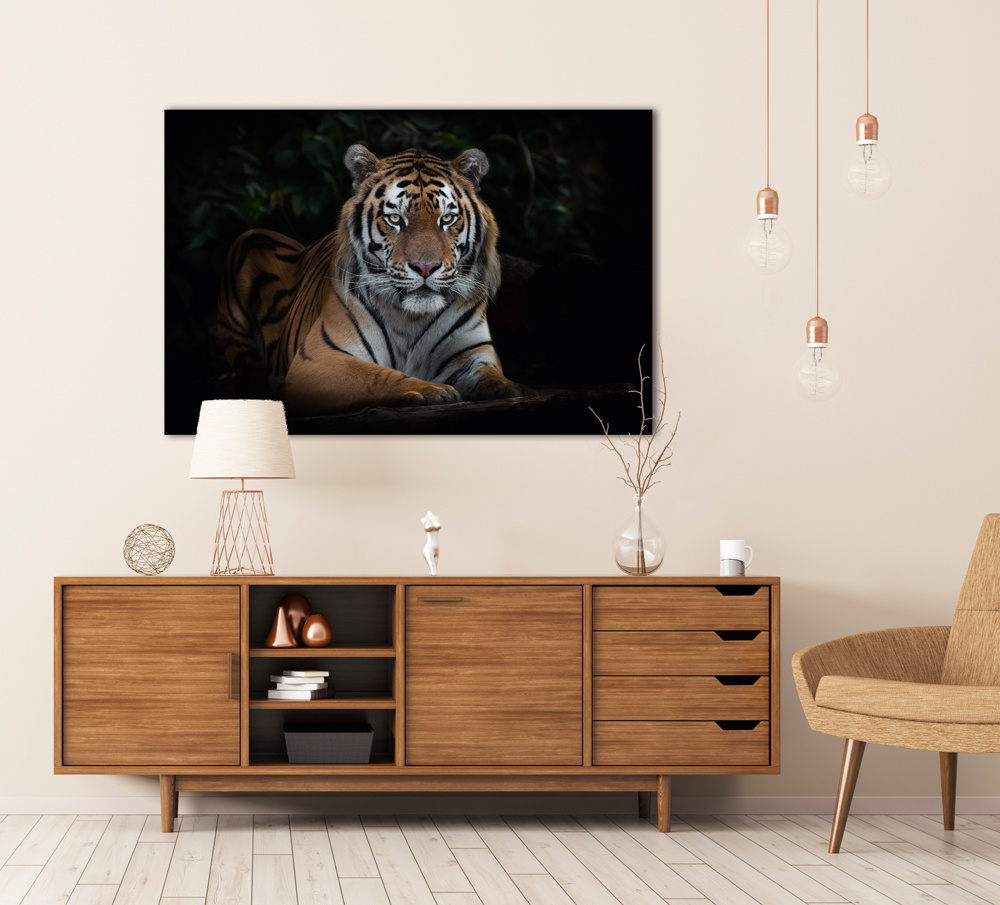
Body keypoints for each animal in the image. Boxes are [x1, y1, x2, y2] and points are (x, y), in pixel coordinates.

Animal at [217, 143, 531, 416]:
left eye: (447, 219)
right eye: (395, 219)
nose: (425, 267)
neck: (412, 319)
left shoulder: (473, 354)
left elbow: (492, 376)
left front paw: (513, 388)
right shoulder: (318, 360)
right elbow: (378, 376)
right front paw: (430, 389)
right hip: (250, 239)